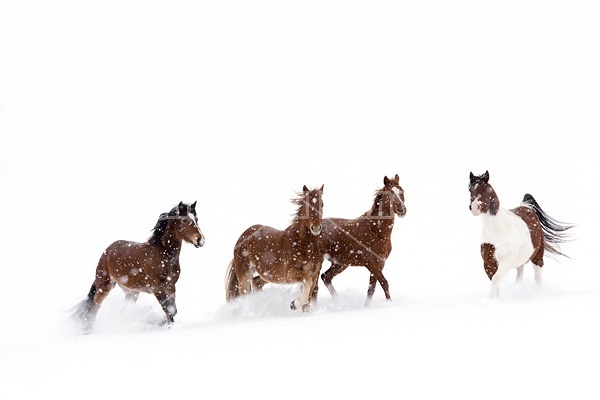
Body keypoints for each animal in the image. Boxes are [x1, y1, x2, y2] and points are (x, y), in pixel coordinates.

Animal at [71, 202, 204, 330]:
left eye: (196, 219)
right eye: (185, 220)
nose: (200, 240)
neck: (162, 254)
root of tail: (107, 250)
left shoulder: (170, 286)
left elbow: (173, 310)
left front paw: (162, 323)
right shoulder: (157, 287)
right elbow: (168, 308)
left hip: (131, 291)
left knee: (122, 310)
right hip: (104, 286)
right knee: (94, 307)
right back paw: (88, 330)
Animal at [318, 173, 408, 304]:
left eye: (402, 191)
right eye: (389, 193)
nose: (402, 210)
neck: (376, 231)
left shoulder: (379, 264)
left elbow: (371, 289)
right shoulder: (372, 264)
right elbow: (384, 283)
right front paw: (389, 303)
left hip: (340, 264)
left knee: (325, 277)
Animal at [468, 170, 572, 298]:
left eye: (485, 189)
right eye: (470, 189)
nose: (474, 208)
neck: (497, 229)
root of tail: (526, 206)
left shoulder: (506, 261)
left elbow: (496, 279)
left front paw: (491, 299)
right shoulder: (488, 262)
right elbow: (494, 280)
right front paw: (495, 298)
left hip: (537, 256)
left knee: (538, 277)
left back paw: (539, 293)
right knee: (520, 272)